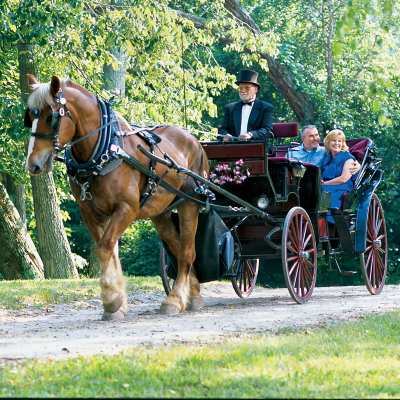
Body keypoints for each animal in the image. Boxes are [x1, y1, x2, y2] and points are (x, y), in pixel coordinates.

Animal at [24, 73, 209, 320]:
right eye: (30, 117)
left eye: (50, 116)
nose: (33, 164)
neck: (105, 152)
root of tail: (195, 141)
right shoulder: (90, 212)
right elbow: (108, 250)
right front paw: (116, 302)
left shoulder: (126, 208)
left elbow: (105, 248)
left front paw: (112, 301)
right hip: (160, 213)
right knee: (179, 250)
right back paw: (193, 294)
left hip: (190, 203)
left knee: (188, 252)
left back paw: (176, 299)